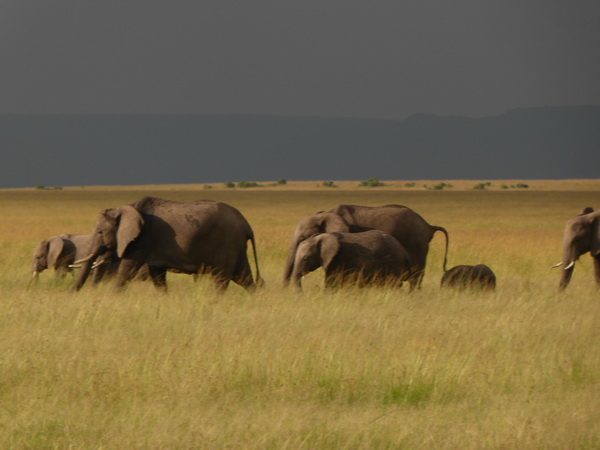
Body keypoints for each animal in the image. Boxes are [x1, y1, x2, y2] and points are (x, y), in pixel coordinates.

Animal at [71, 197, 262, 292]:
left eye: (100, 232)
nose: (92, 293)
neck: (126, 208)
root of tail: (247, 225)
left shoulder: (143, 239)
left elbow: (127, 269)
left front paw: (114, 296)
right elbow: (158, 276)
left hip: (227, 242)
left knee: (222, 278)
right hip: (236, 245)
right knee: (243, 277)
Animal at [284, 204, 448, 288]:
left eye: (302, 238)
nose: (284, 291)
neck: (325, 214)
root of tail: (428, 226)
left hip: (416, 243)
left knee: (415, 276)